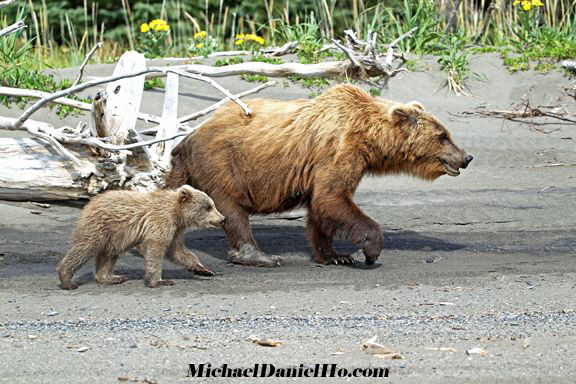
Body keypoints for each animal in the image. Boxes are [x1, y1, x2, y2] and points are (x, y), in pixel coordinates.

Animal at [165, 83, 472, 266]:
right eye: (443, 136)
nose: (466, 157)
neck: (369, 139)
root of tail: (186, 139)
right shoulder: (337, 151)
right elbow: (332, 198)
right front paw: (371, 250)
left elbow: (322, 208)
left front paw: (336, 256)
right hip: (223, 163)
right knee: (232, 209)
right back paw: (260, 256)